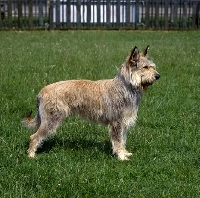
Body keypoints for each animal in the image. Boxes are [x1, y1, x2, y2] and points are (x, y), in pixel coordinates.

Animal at [22, 45, 160, 160]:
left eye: (152, 66)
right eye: (145, 67)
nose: (158, 76)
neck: (126, 86)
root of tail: (41, 93)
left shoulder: (123, 123)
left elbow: (122, 140)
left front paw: (125, 153)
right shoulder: (117, 123)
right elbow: (118, 141)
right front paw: (121, 157)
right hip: (51, 120)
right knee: (34, 137)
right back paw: (31, 155)